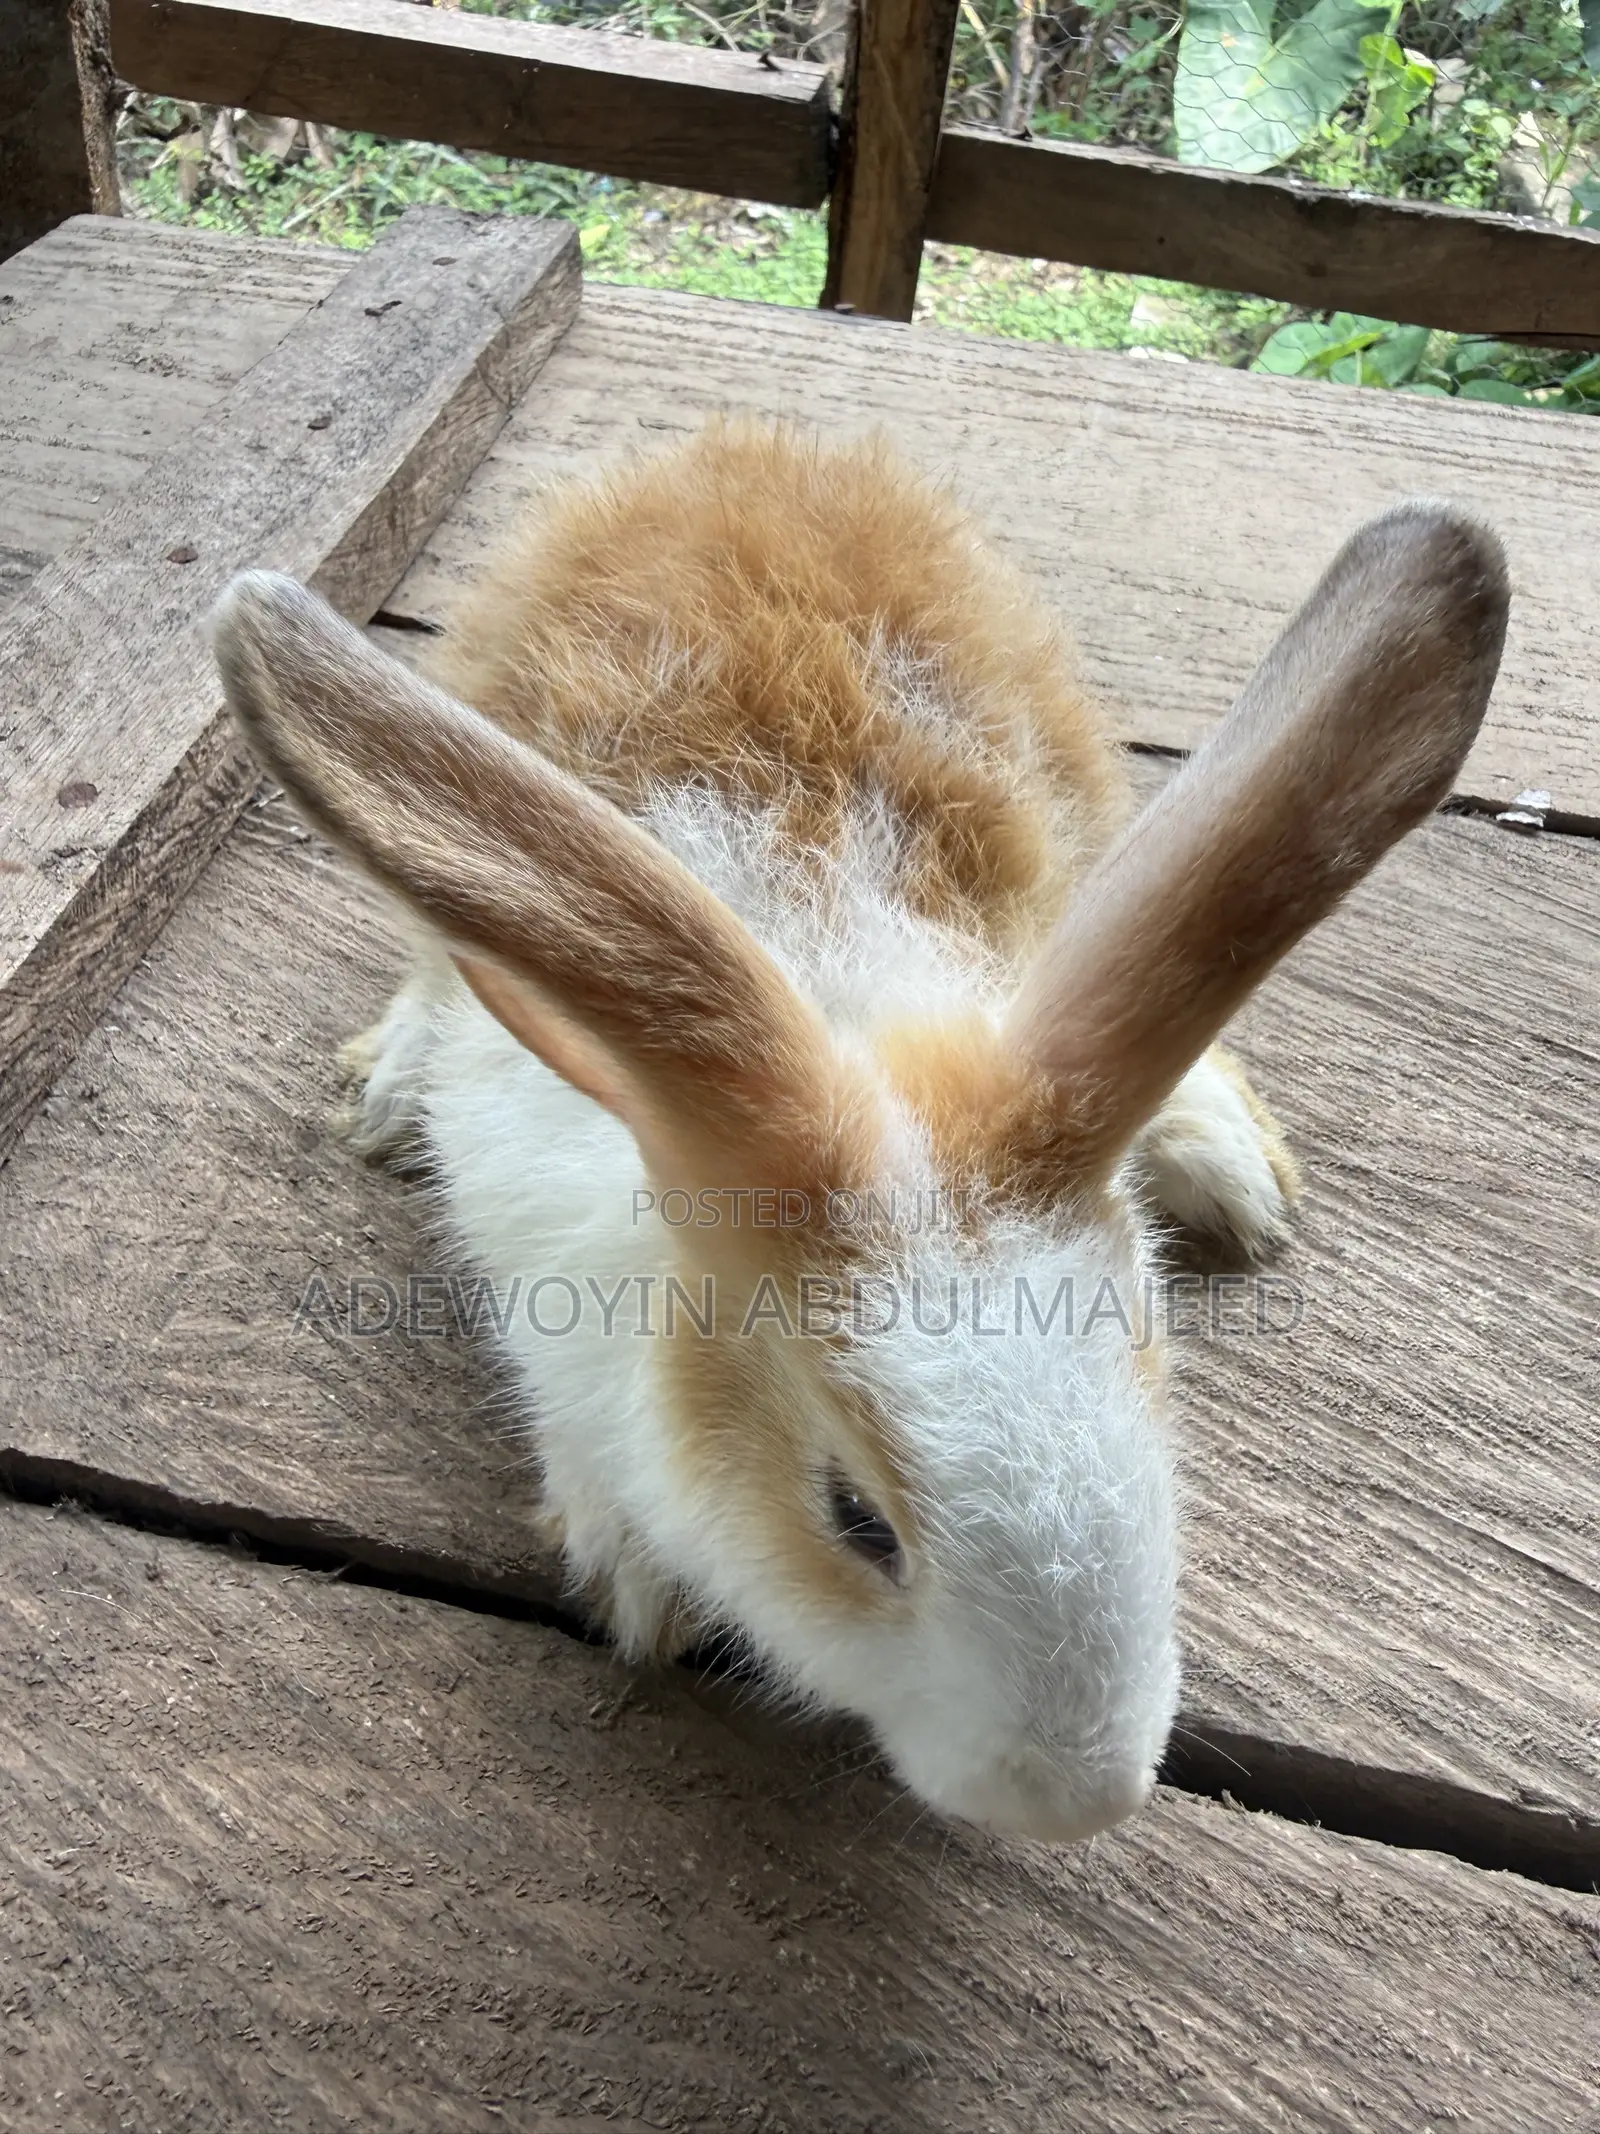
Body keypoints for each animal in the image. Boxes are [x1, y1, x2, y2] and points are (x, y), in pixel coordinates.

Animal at [212, 423, 1507, 1845]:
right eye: (855, 1522)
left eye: (1148, 1376)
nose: (1074, 1800)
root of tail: (747, 446)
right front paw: (640, 1584)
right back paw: (392, 1084)